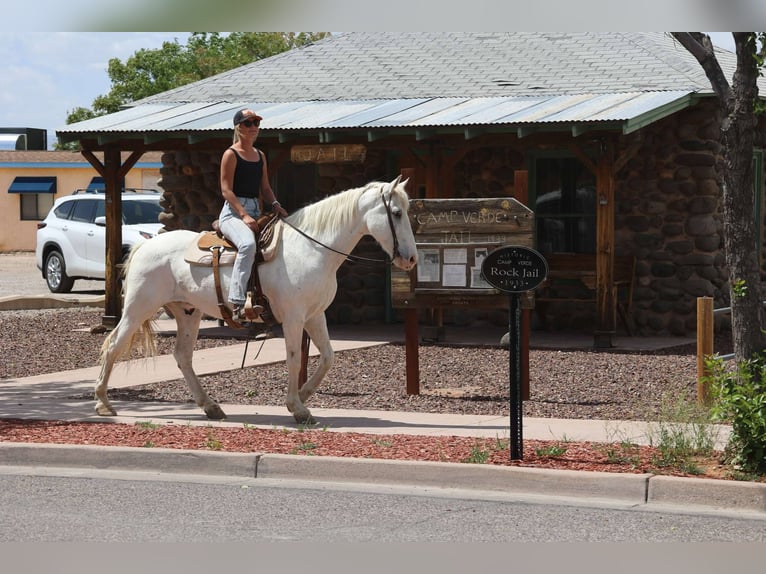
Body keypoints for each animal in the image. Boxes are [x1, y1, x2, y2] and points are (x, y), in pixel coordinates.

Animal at [95, 175, 418, 425]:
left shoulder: (315, 315)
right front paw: (297, 408)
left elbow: (327, 357)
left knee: (182, 357)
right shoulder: (293, 317)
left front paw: (303, 396)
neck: (311, 249)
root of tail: (145, 244)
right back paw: (103, 403)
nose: (411, 258)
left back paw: (211, 407)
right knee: (113, 345)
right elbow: (294, 358)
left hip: (188, 313)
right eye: (396, 212)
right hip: (138, 308)